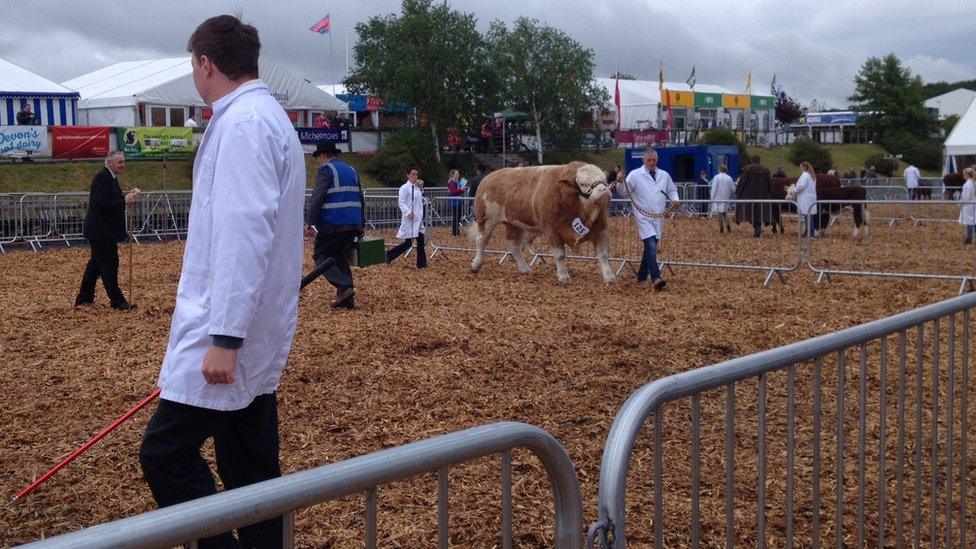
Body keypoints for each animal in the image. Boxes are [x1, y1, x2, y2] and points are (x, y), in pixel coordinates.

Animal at [468, 161, 612, 282]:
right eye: (582, 183)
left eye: (604, 180)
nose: (604, 190)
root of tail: (489, 177)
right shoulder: (552, 231)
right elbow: (560, 255)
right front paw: (563, 276)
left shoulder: (601, 230)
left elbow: (603, 254)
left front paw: (609, 277)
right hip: (486, 219)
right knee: (481, 240)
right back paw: (476, 264)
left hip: (515, 225)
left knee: (514, 247)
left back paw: (524, 269)